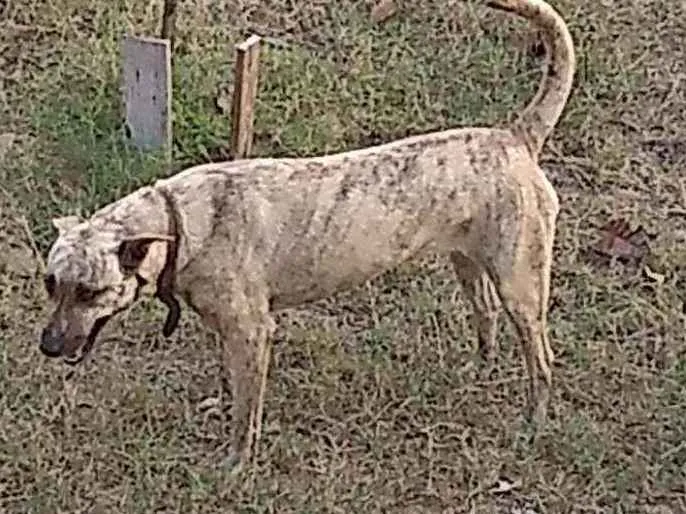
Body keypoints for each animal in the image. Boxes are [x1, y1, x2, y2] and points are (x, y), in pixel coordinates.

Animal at [40, 0, 575, 471]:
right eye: (51, 284)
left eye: (91, 292)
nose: (46, 346)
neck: (182, 222)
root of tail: (515, 136)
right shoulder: (230, 330)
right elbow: (232, 384)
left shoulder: (253, 331)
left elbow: (247, 414)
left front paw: (236, 464)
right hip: (468, 263)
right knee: (485, 317)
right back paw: (478, 372)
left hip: (520, 285)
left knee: (542, 360)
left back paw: (532, 426)